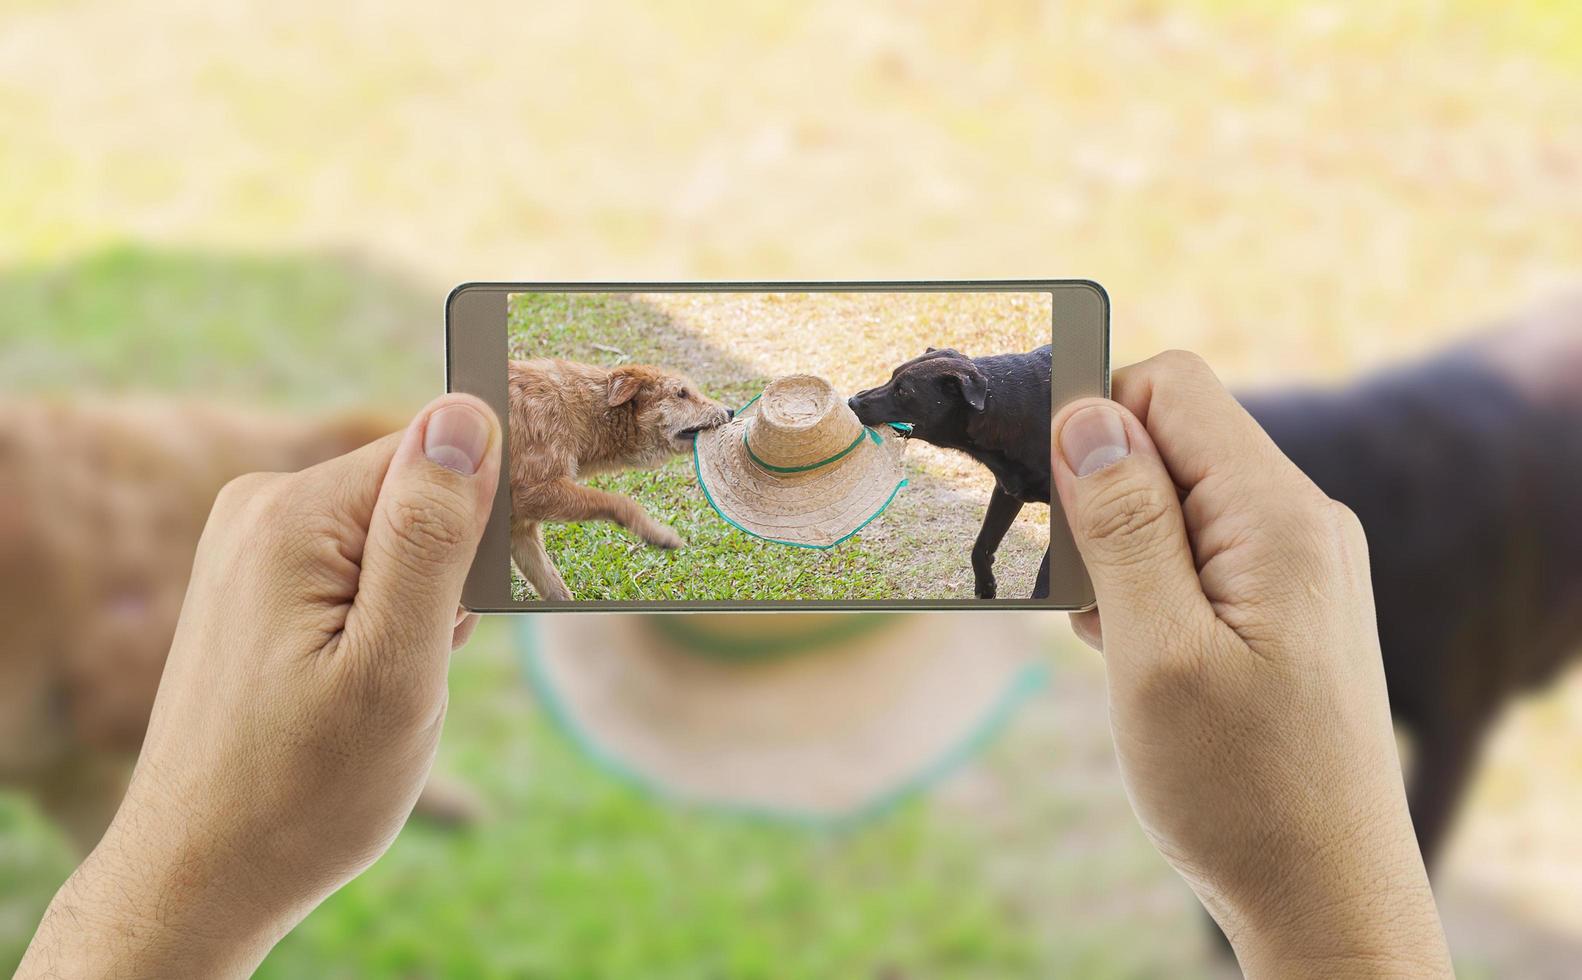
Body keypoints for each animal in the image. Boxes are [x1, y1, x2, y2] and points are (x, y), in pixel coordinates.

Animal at [506, 357, 727, 598]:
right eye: (681, 393)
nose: (731, 410)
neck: (574, 407)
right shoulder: (530, 494)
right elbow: (619, 501)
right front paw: (657, 533)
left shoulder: (520, 531)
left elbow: (556, 588)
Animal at [847, 348, 1056, 601]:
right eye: (892, 376)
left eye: (903, 391)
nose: (852, 401)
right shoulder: (1007, 489)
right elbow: (980, 547)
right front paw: (986, 587)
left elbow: (1045, 574)